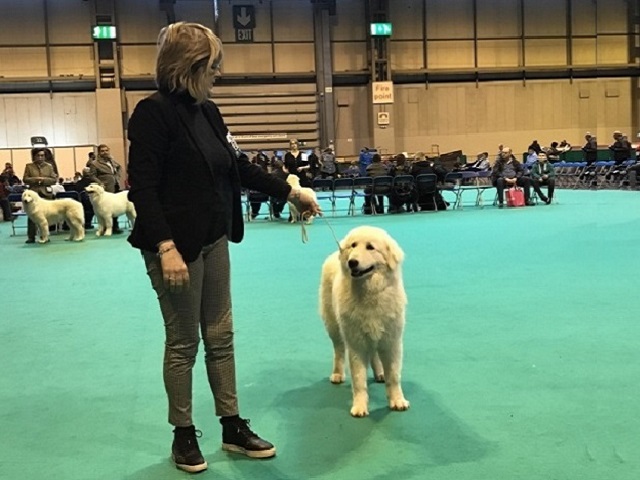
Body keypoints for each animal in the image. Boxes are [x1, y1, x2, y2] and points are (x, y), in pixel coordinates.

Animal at [318, 225, 408, 416]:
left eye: (370, 247)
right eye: (353, 245)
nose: (352, 262)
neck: (370, 291)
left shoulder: (391, 341)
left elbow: (394, 376)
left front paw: (397, 401)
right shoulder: (356, 343)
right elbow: (359, 379)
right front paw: (359, 407)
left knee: (374, 354)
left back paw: (380, 373)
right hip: (334, 327)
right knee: (338, 350)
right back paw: (337, 374)